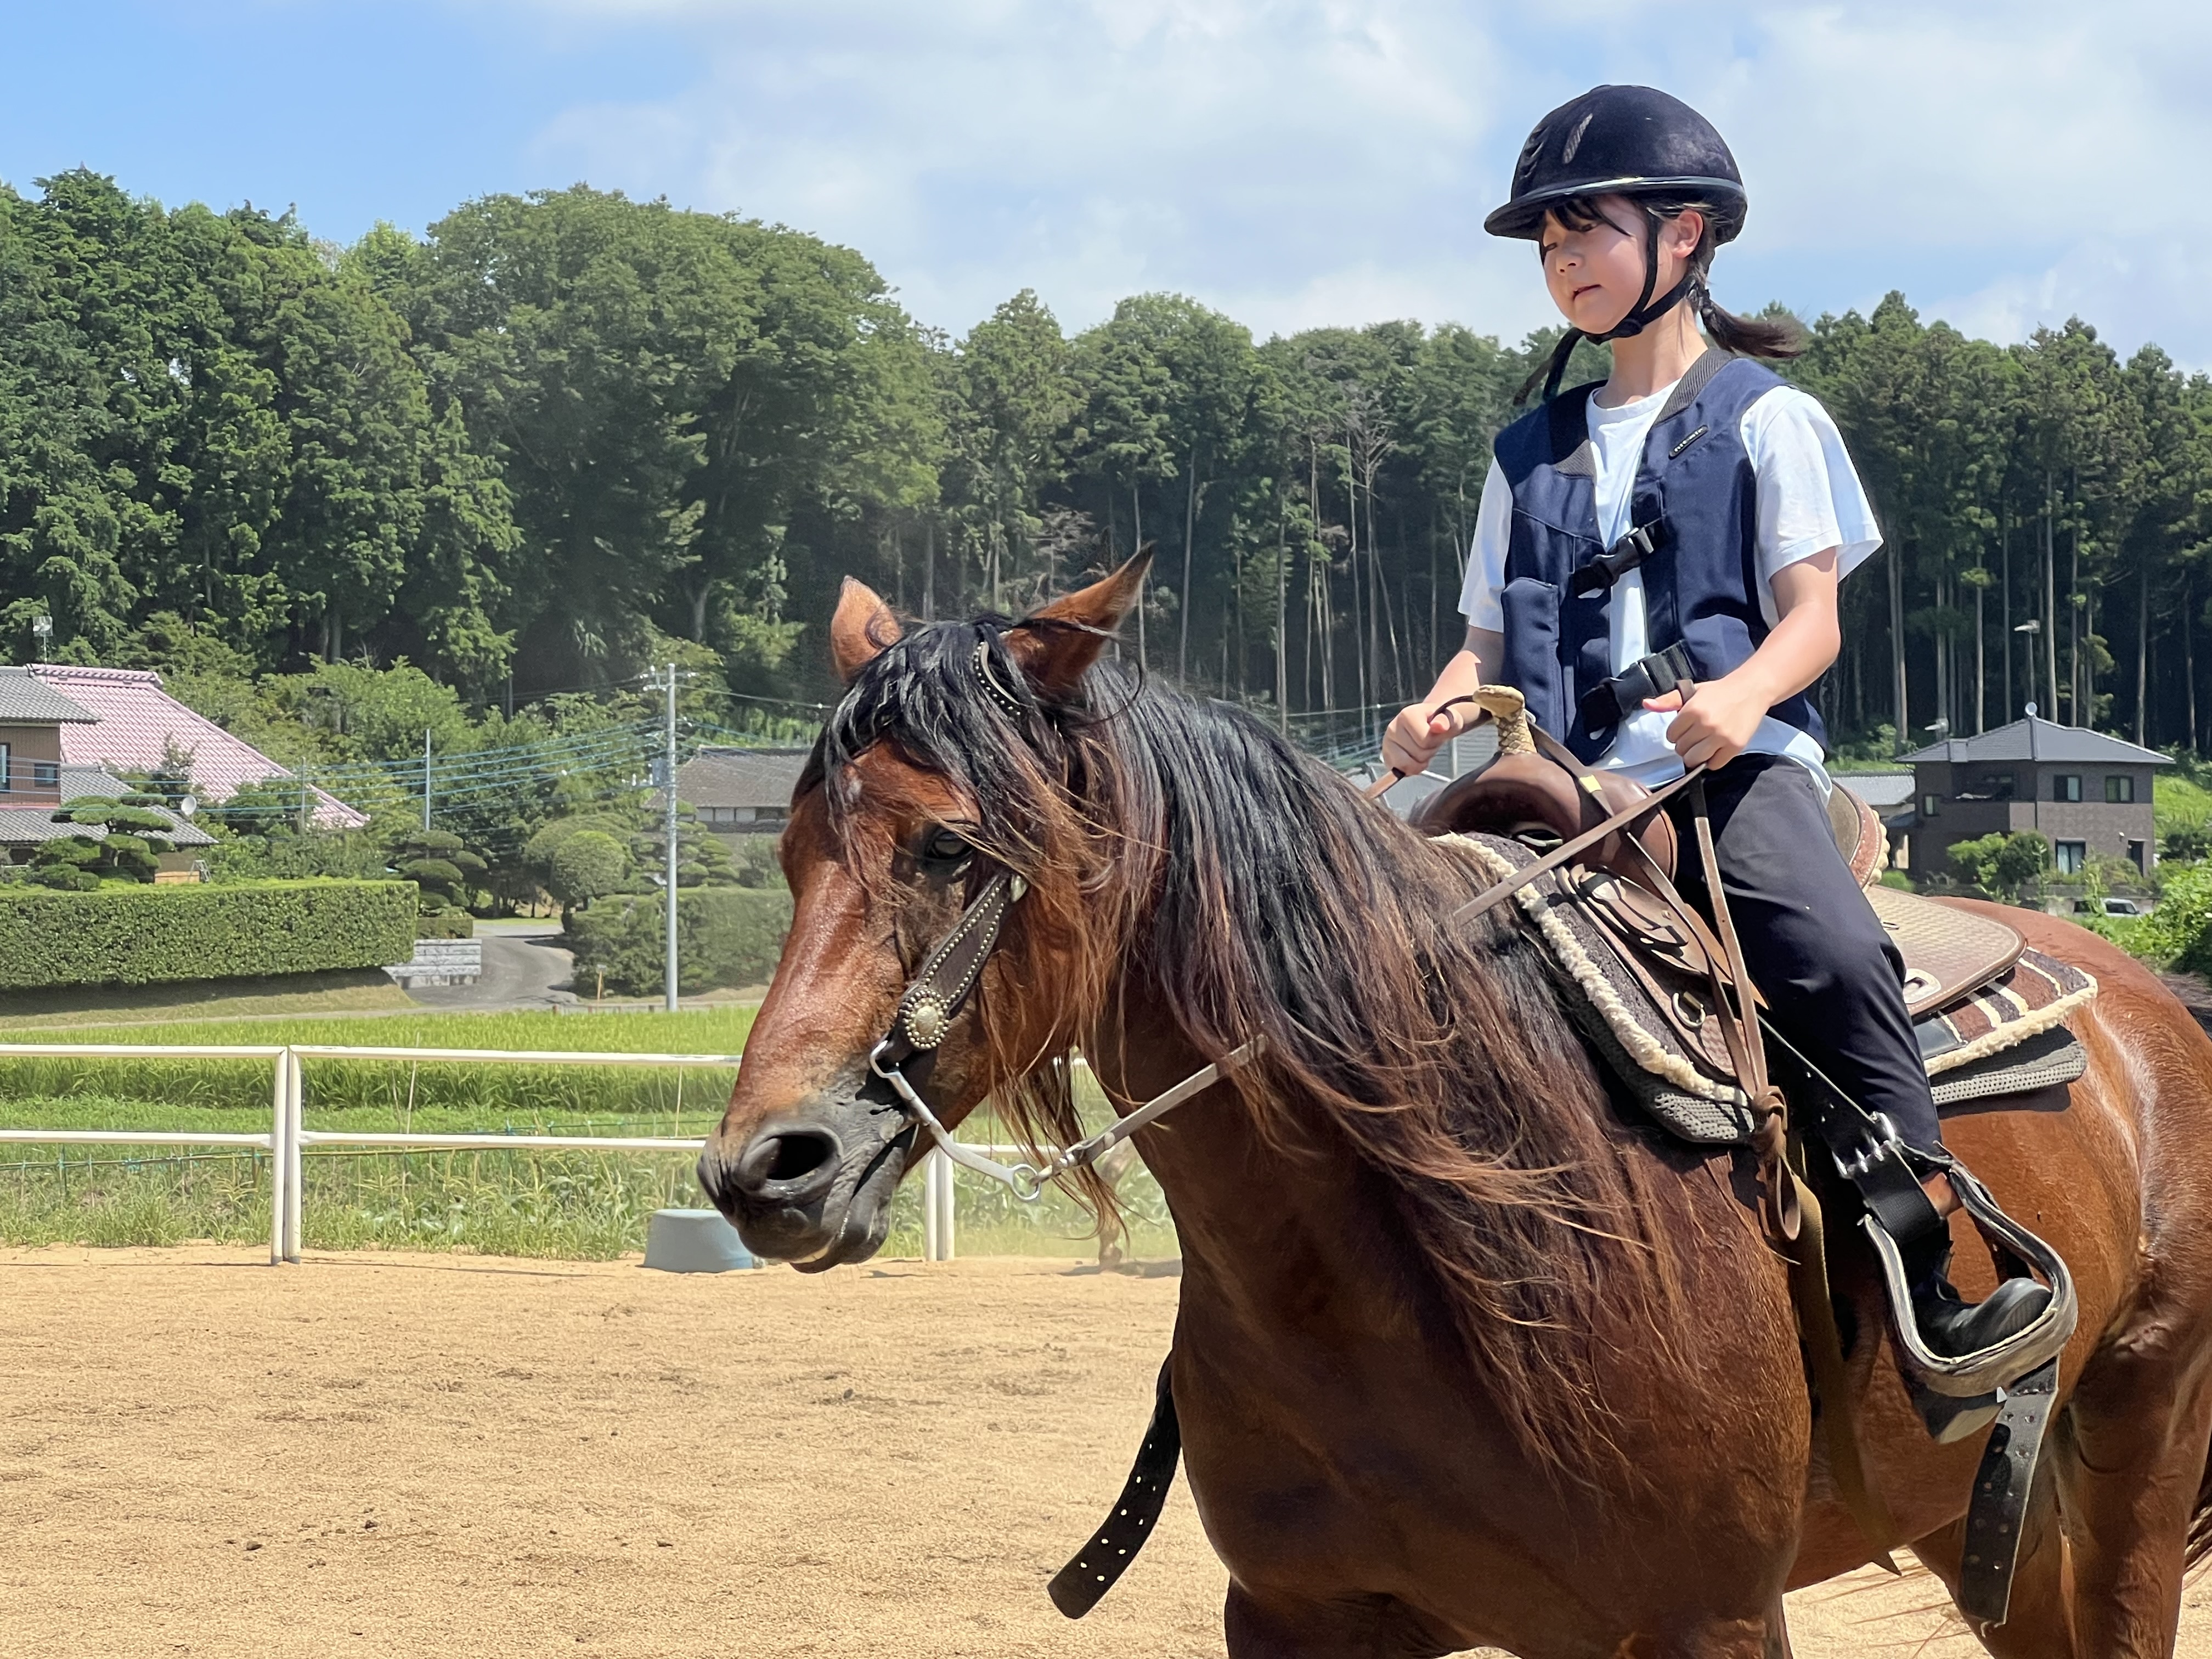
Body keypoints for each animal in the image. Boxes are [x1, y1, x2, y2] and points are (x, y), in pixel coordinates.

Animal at [697, 555, 2212, 1657]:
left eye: (951, 847)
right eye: (789, 850)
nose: (766, 1166)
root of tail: (2153, 1005)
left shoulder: (1708, 1616)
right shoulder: (1304, 1618)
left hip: (2139, 1441)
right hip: (1980, 1513)